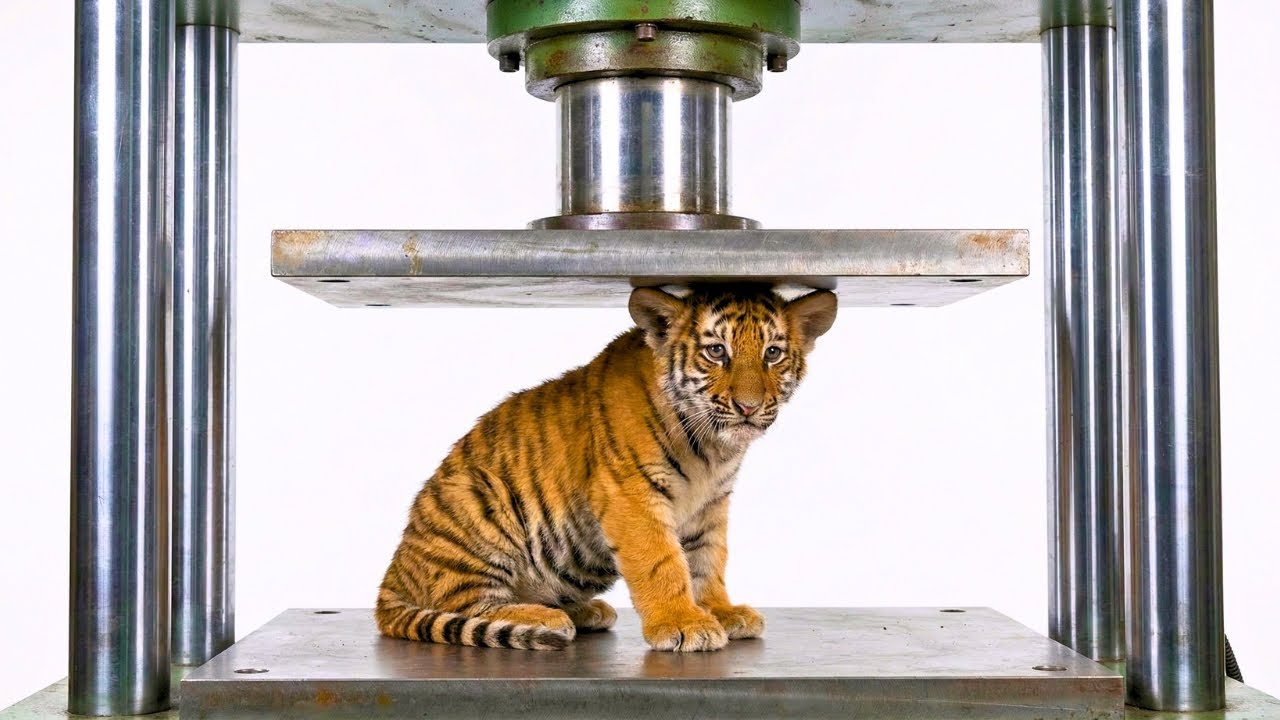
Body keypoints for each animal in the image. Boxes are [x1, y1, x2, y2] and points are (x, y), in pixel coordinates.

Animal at [375, 283, 838, 652]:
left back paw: (582, 611)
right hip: (478, 500)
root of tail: (392, 576)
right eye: (716, 351)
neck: (710, 448)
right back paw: (544, 618)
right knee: (462, 603)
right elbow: (662, 562)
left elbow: (708, 560)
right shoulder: (631, 493)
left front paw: (719, 611)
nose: (748, 407)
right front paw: (684, 624)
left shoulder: (711, 502)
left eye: (772, 353)